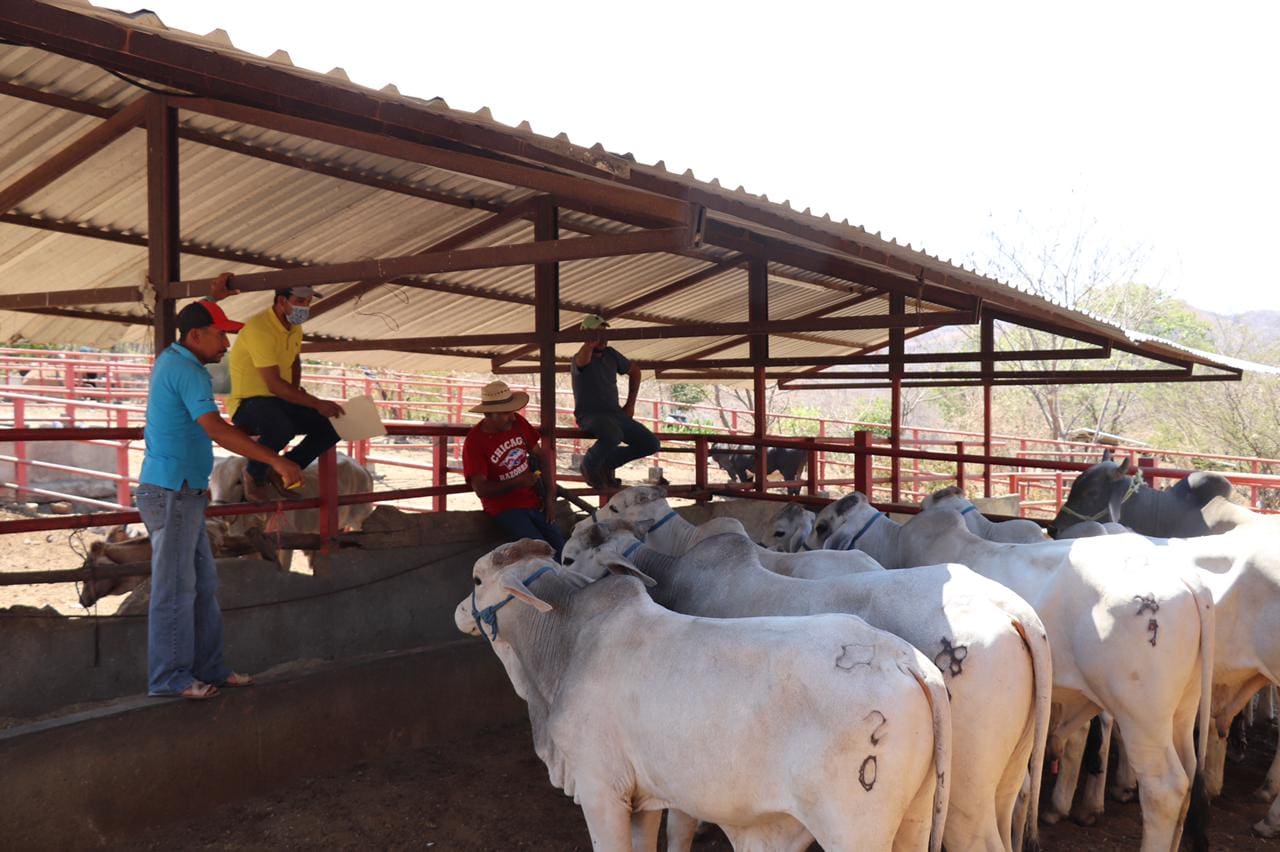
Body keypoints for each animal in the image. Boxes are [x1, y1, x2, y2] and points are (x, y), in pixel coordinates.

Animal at [209, 452, 374, 571]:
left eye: (238, 481)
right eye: (211, 482)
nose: (220, 513)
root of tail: (362, 468)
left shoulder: (285, 544)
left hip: (361, 519)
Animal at [455, 538, 952, 852]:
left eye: (477, 580)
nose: (459, 612)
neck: (566, 643)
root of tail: (903, 659)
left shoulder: (601, 790)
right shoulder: (643, 796)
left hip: (855, 830)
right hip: (917, 816)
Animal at [808, 493, 1215, 852]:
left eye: (822, 524)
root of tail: (1188, 582)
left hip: (1141, 713)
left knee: (1166, 788)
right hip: (1181, 708)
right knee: (1189, 772)